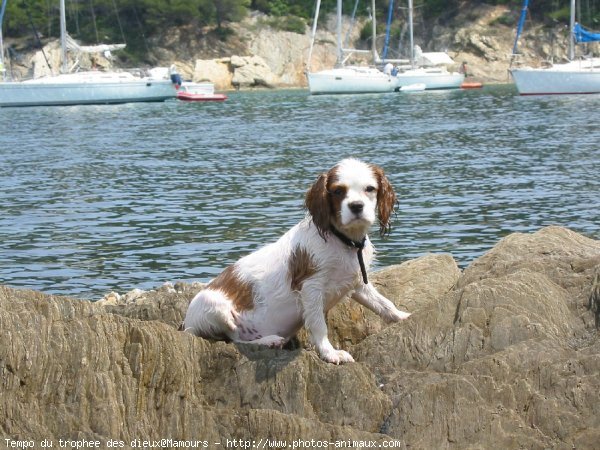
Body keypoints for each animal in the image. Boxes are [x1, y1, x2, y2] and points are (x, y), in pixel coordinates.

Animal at [182, 157, 408, 362]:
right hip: (214, 307)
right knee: (232, 338)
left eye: (370, 189)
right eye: (337, 191)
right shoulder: (311, 287)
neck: (343, 240)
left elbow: (384, 304)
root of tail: (184, 324)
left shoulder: (358, 283)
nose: (356, 206)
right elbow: (318, 325)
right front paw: (330, 353)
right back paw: (269, 340)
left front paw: (403, 316)